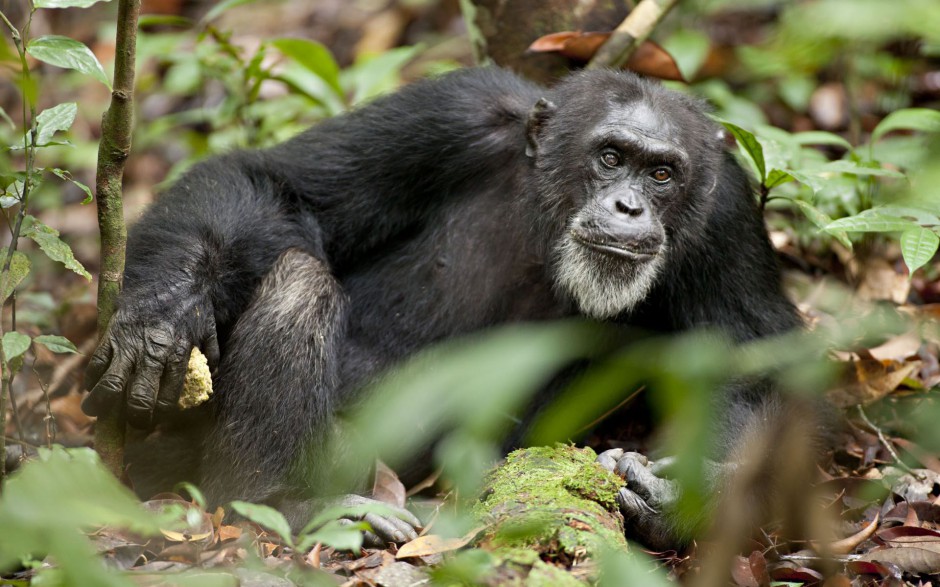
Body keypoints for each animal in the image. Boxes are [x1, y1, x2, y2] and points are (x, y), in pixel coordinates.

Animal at [81, 66, 804, 548]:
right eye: (609, 156)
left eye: (661, 174)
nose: (628, 206)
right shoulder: (452, 113)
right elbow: (281, 185)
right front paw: (162, 315)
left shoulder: (727, 212)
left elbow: (756, 364)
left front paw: (689, 496)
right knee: (298, 277)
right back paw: (282, 504)